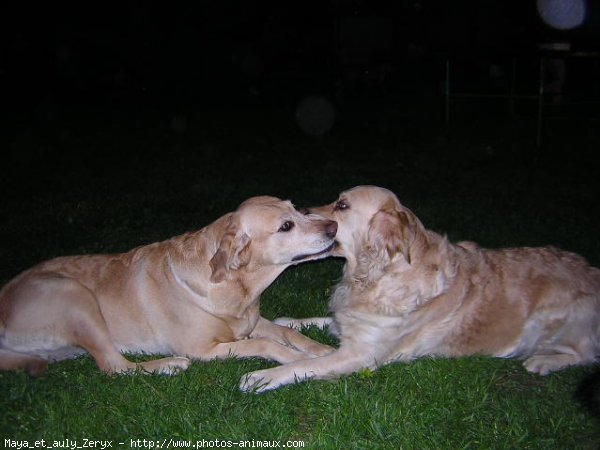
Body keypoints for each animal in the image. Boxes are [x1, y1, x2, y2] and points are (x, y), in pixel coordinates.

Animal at [0, 196, 338, 376]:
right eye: (286, 226)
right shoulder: (203, 350)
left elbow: (288, 332)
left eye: (296, 210)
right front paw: (301, 360)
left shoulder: (251, 322)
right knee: (115, 365)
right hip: (72, 294)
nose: (333, 227)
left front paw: (322, 349)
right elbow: (267, 344)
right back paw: (170, 365)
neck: (238, 289)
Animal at [240, 185, 600, 392]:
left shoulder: (363, 354)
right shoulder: (355, 324)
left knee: (586, 355)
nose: (303, 212)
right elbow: (323, 320)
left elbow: (304, 365)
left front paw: (263, 376)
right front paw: (290, 322)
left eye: (342, 206)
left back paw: (544, 361)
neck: (375, 274)